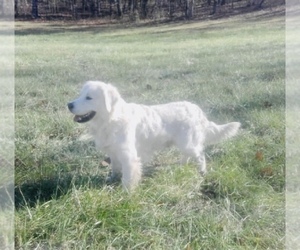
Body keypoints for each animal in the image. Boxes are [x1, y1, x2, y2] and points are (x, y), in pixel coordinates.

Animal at [68, 81, 241, 190]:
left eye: (89, 97)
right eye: (80, 94)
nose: (69, 104)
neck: (112, 118)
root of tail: (197, 110)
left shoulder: (129, 156)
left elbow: (128, 177)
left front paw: (126, 193)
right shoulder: (114, 152)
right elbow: (115, 168)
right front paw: (111, 179)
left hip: (189, 144)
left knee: (200, 156)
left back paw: (202, 172)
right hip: (185, 144)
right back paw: (181, 167)